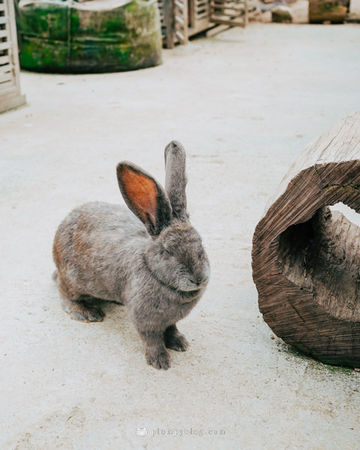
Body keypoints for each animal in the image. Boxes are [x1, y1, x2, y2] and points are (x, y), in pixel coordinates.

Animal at [53, 141, 211, 370]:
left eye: (201, 244)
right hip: (72, 280)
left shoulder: (170, 320)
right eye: (167, 251)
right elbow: (152, 339)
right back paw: (86, 312)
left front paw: (180, 343)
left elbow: (172, 328)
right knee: (65, 295)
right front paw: (160, 362)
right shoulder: (145, 321)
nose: (198, 279)